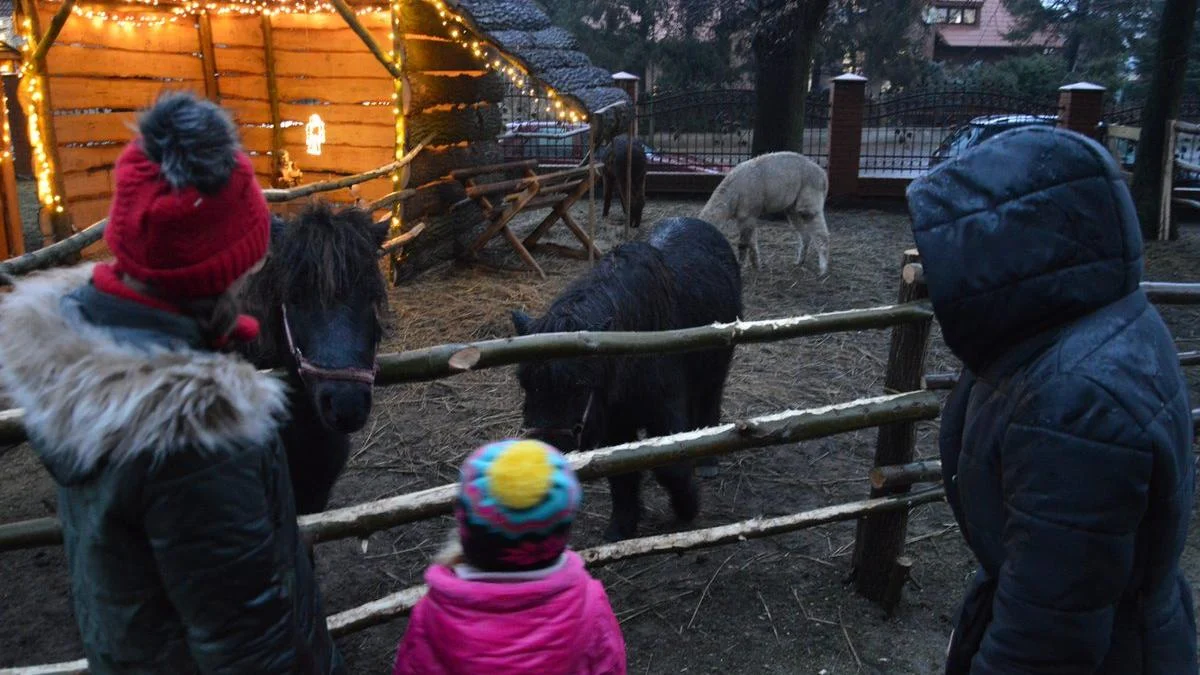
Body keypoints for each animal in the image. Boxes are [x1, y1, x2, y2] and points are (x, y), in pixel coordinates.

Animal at [513, 218, 739, 538]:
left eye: (579, 386)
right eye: (526, 383)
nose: (547, 453)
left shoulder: (664, 411)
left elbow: (670, 468)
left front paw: (687, 509)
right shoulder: (614, 422)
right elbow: (622, 474)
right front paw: (621, 526)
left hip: (717, 366)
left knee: (710, 398)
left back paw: (707, 460)